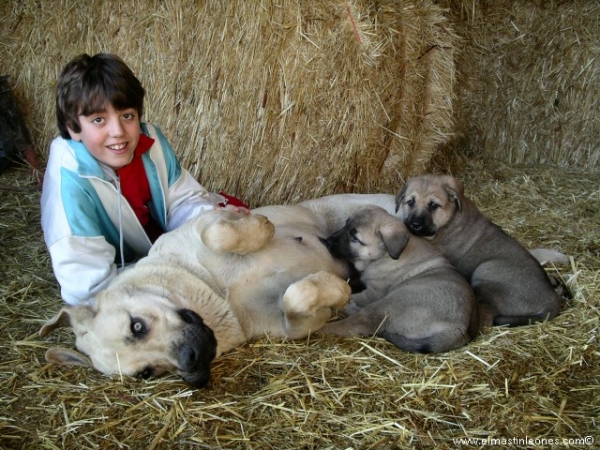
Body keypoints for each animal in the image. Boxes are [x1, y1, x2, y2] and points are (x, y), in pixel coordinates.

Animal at [38, 206, 356, 388]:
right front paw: (337, 290)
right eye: (147, 373)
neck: (215, 292)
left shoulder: (204, 223)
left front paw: (263, 225)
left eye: (136, 326)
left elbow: (220, 234)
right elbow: (295, 298)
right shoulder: (287, 326)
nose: (191, 362)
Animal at [318, 206, 478, 354]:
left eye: (355, 238)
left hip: (394, 301)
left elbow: (351, 293)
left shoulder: (374, 292)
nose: (327, 241)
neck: (382, 255)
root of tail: (459, 329)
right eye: (346, 224)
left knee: (362, 321)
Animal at [396, 174, 564, 326]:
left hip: (486, 268)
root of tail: (552, 302)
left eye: (433, 205)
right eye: (410, 202)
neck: (450, 220)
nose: (415, 224)